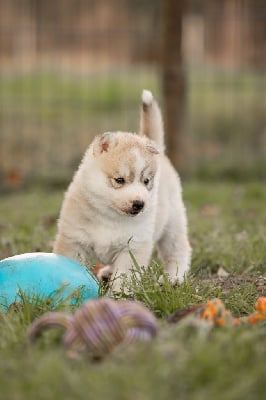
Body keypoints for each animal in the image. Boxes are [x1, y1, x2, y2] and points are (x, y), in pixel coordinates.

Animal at [53, 90, 191, 290]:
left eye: (146, 181)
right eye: (119, 180)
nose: (139, 204)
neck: (109, 216)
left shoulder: (133, 247)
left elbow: (124, 277)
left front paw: (119, 295)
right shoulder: (74, 240)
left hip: (172, 224)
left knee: (178, 250)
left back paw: (174, 277)